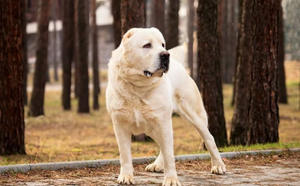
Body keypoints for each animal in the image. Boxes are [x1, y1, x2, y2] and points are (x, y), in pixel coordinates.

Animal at [105, 28, 225, 186]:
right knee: (163, 145)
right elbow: (125, 154)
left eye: (162, 44)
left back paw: (218, 165)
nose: (165, 54)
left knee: (209, 138)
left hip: (193, 114)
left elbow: (169, 155)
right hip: (152, 127)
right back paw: (157, 164)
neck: (138, 87)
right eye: (147, 45)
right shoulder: (120, 124)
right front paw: (126, 176)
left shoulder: (162, 122)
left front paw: (171, 179)